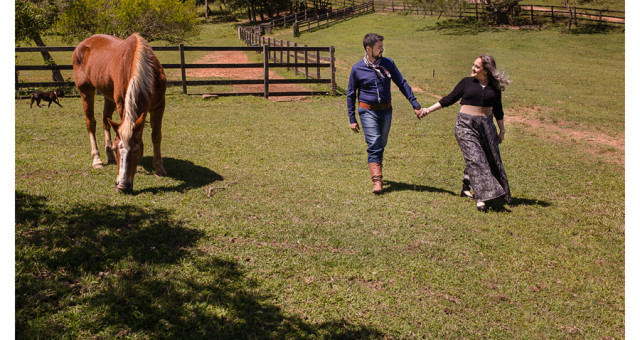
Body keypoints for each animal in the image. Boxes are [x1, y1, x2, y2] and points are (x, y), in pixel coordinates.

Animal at [73, 33, 168, 194]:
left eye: (136, 150)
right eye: (118, 149)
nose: (122, 186)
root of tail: (83, 43)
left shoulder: (159, 105)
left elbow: (156, 136)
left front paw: (160, 169)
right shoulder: (121, 104)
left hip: (108, 95)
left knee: (105, 119)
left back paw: (108, 156)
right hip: (85, 90)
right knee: (91, 123)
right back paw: (97, 159)